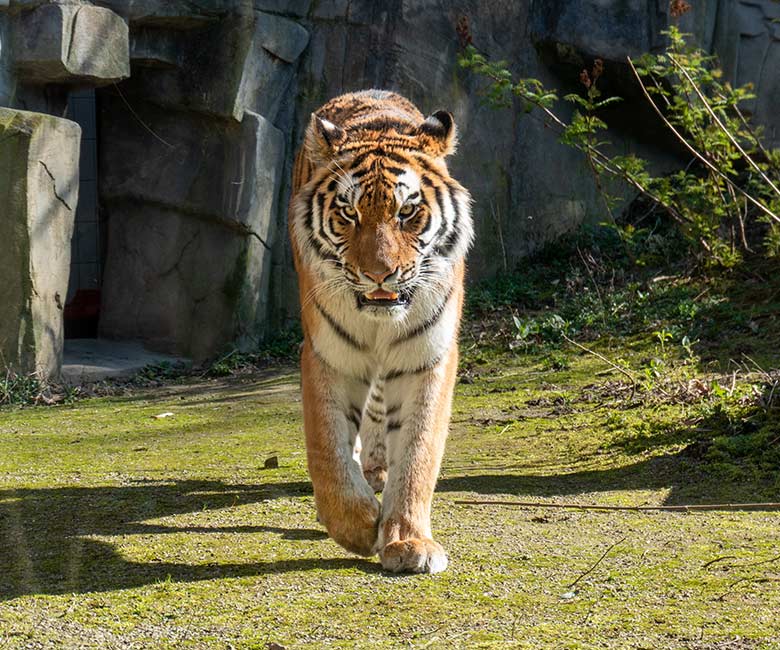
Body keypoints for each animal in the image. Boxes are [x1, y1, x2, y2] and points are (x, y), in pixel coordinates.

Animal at [290, 87, 472, 572]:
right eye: (348, 213)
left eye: (407, 211)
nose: (378, 275)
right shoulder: (327, 355)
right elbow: (328, 450)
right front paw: (355, 527)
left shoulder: (427, 357)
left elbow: (418, 452)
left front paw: (409, 541)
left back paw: (377, 471)